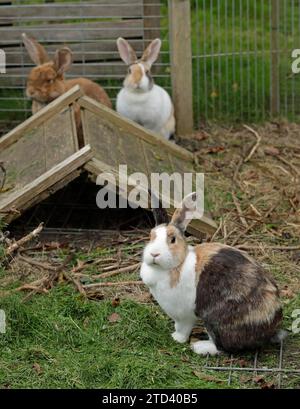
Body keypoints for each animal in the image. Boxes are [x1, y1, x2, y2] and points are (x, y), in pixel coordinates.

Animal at [139, 191, 284, 354]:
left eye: (173, 239)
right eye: (151, 236)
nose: (154, 254)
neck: (177, 265)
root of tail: (271, 329)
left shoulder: (184, 315)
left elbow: (183, 329)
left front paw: (176, 338)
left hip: (215, 321)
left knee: (222, 347)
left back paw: (200, 347)